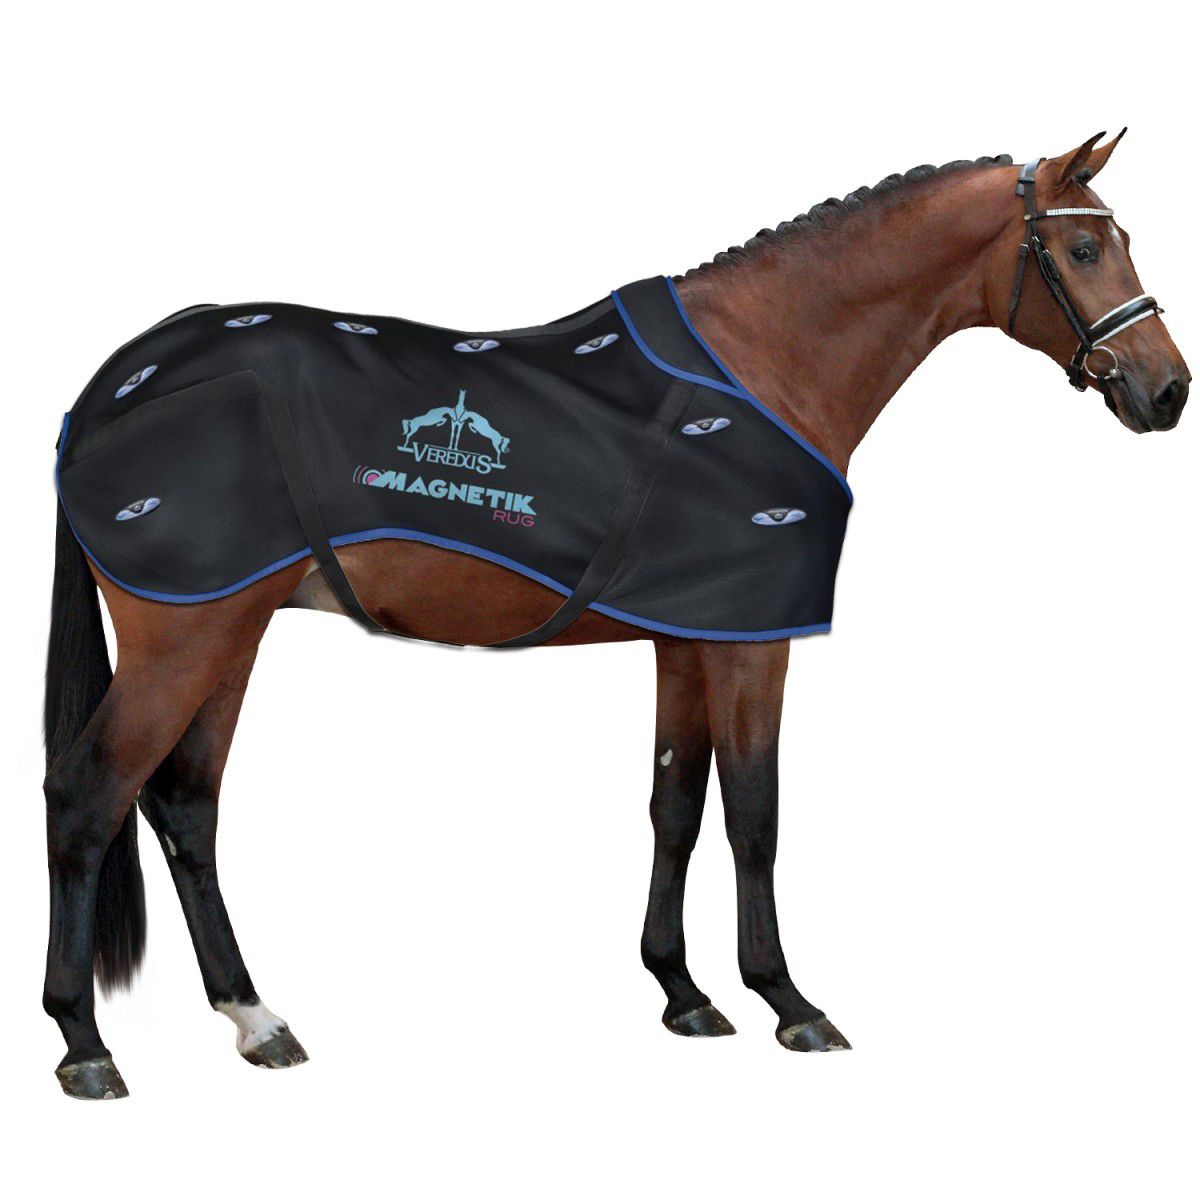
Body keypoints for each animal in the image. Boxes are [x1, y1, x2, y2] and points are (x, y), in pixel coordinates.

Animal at [43, 132, 1189, 1099]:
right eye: (1084, 246)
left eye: (1120, 239)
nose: (1168, 391)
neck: (769, 360)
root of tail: (107, 388)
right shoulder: (755, 645)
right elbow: (755, 813)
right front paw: (790, 1003)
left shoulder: (692, 639)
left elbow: (674, 804)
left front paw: (684, 994)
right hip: (184, 638)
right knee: (88, 796)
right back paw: (85, 1045)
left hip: (226, 634)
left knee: (185, 806)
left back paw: (255, 1019)